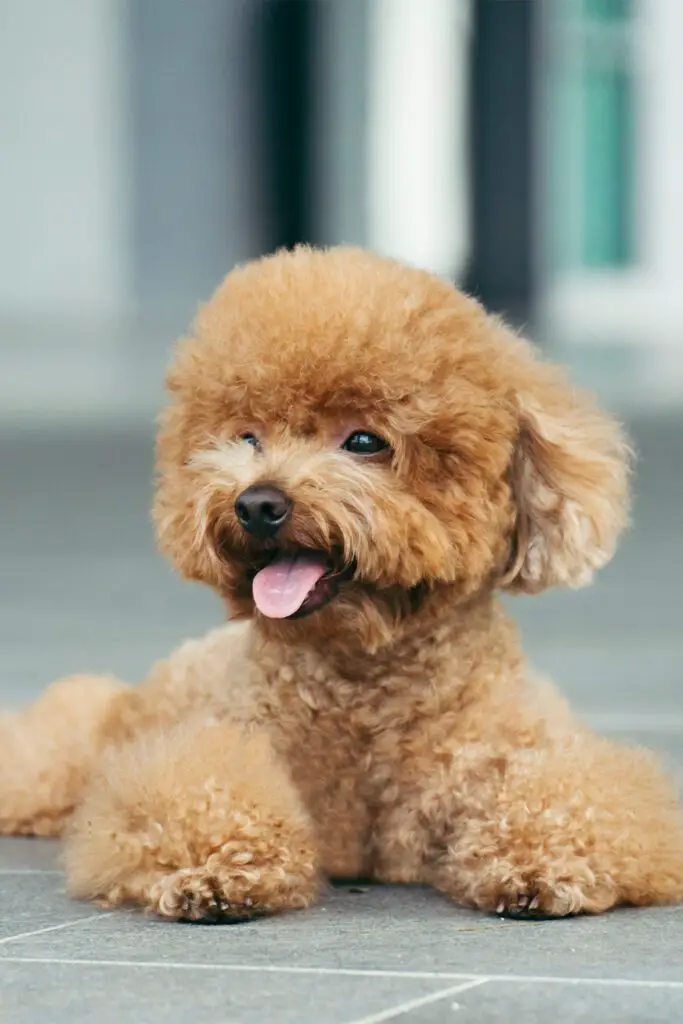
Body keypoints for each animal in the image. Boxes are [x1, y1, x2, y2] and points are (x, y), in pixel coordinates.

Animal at [1, 245, 683, 921]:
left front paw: (543, 867)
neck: (362, 688)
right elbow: (200, 799)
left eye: (363, 440)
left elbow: (571, 802)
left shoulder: (517, 754)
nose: (257, 504)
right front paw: (217, 869)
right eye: (247, 437)